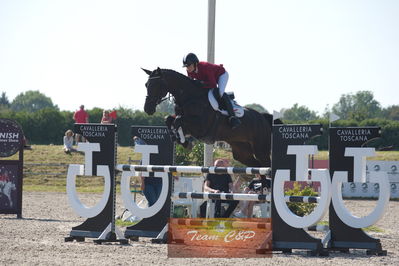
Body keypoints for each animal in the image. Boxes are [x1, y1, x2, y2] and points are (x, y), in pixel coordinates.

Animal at [142, 67, 280, 167]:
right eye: (146, 84)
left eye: (156, 85)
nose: (147, 109)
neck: (190, 97)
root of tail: (262, 117)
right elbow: (169, 119)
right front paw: (180, 140)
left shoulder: (200, 126)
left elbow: (177, 120)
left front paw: (186, 142)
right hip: (241, 151)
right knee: (257, 165)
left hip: (261, 149)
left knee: (266, 165)